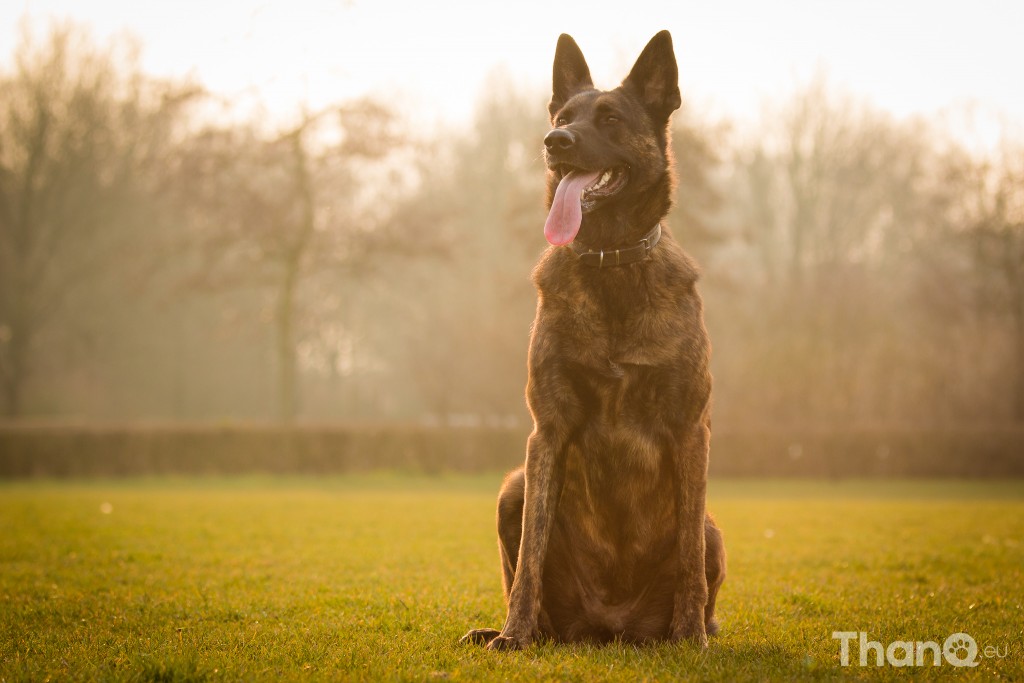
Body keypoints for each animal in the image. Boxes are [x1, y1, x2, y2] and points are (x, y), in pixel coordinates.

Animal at [460, 30, 724, 651]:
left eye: (609, 119)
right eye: (563, 117)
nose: (555, 142)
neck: (611, 263)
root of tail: (611, 630)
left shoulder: (690, 429)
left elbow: (687, 561)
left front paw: (690, 638)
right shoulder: (548, 431)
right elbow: (529, 557)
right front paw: (514, 636)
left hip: (712, 528)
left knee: (697, 559)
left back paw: (688, 631)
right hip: (511, 489)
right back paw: (516, 631)